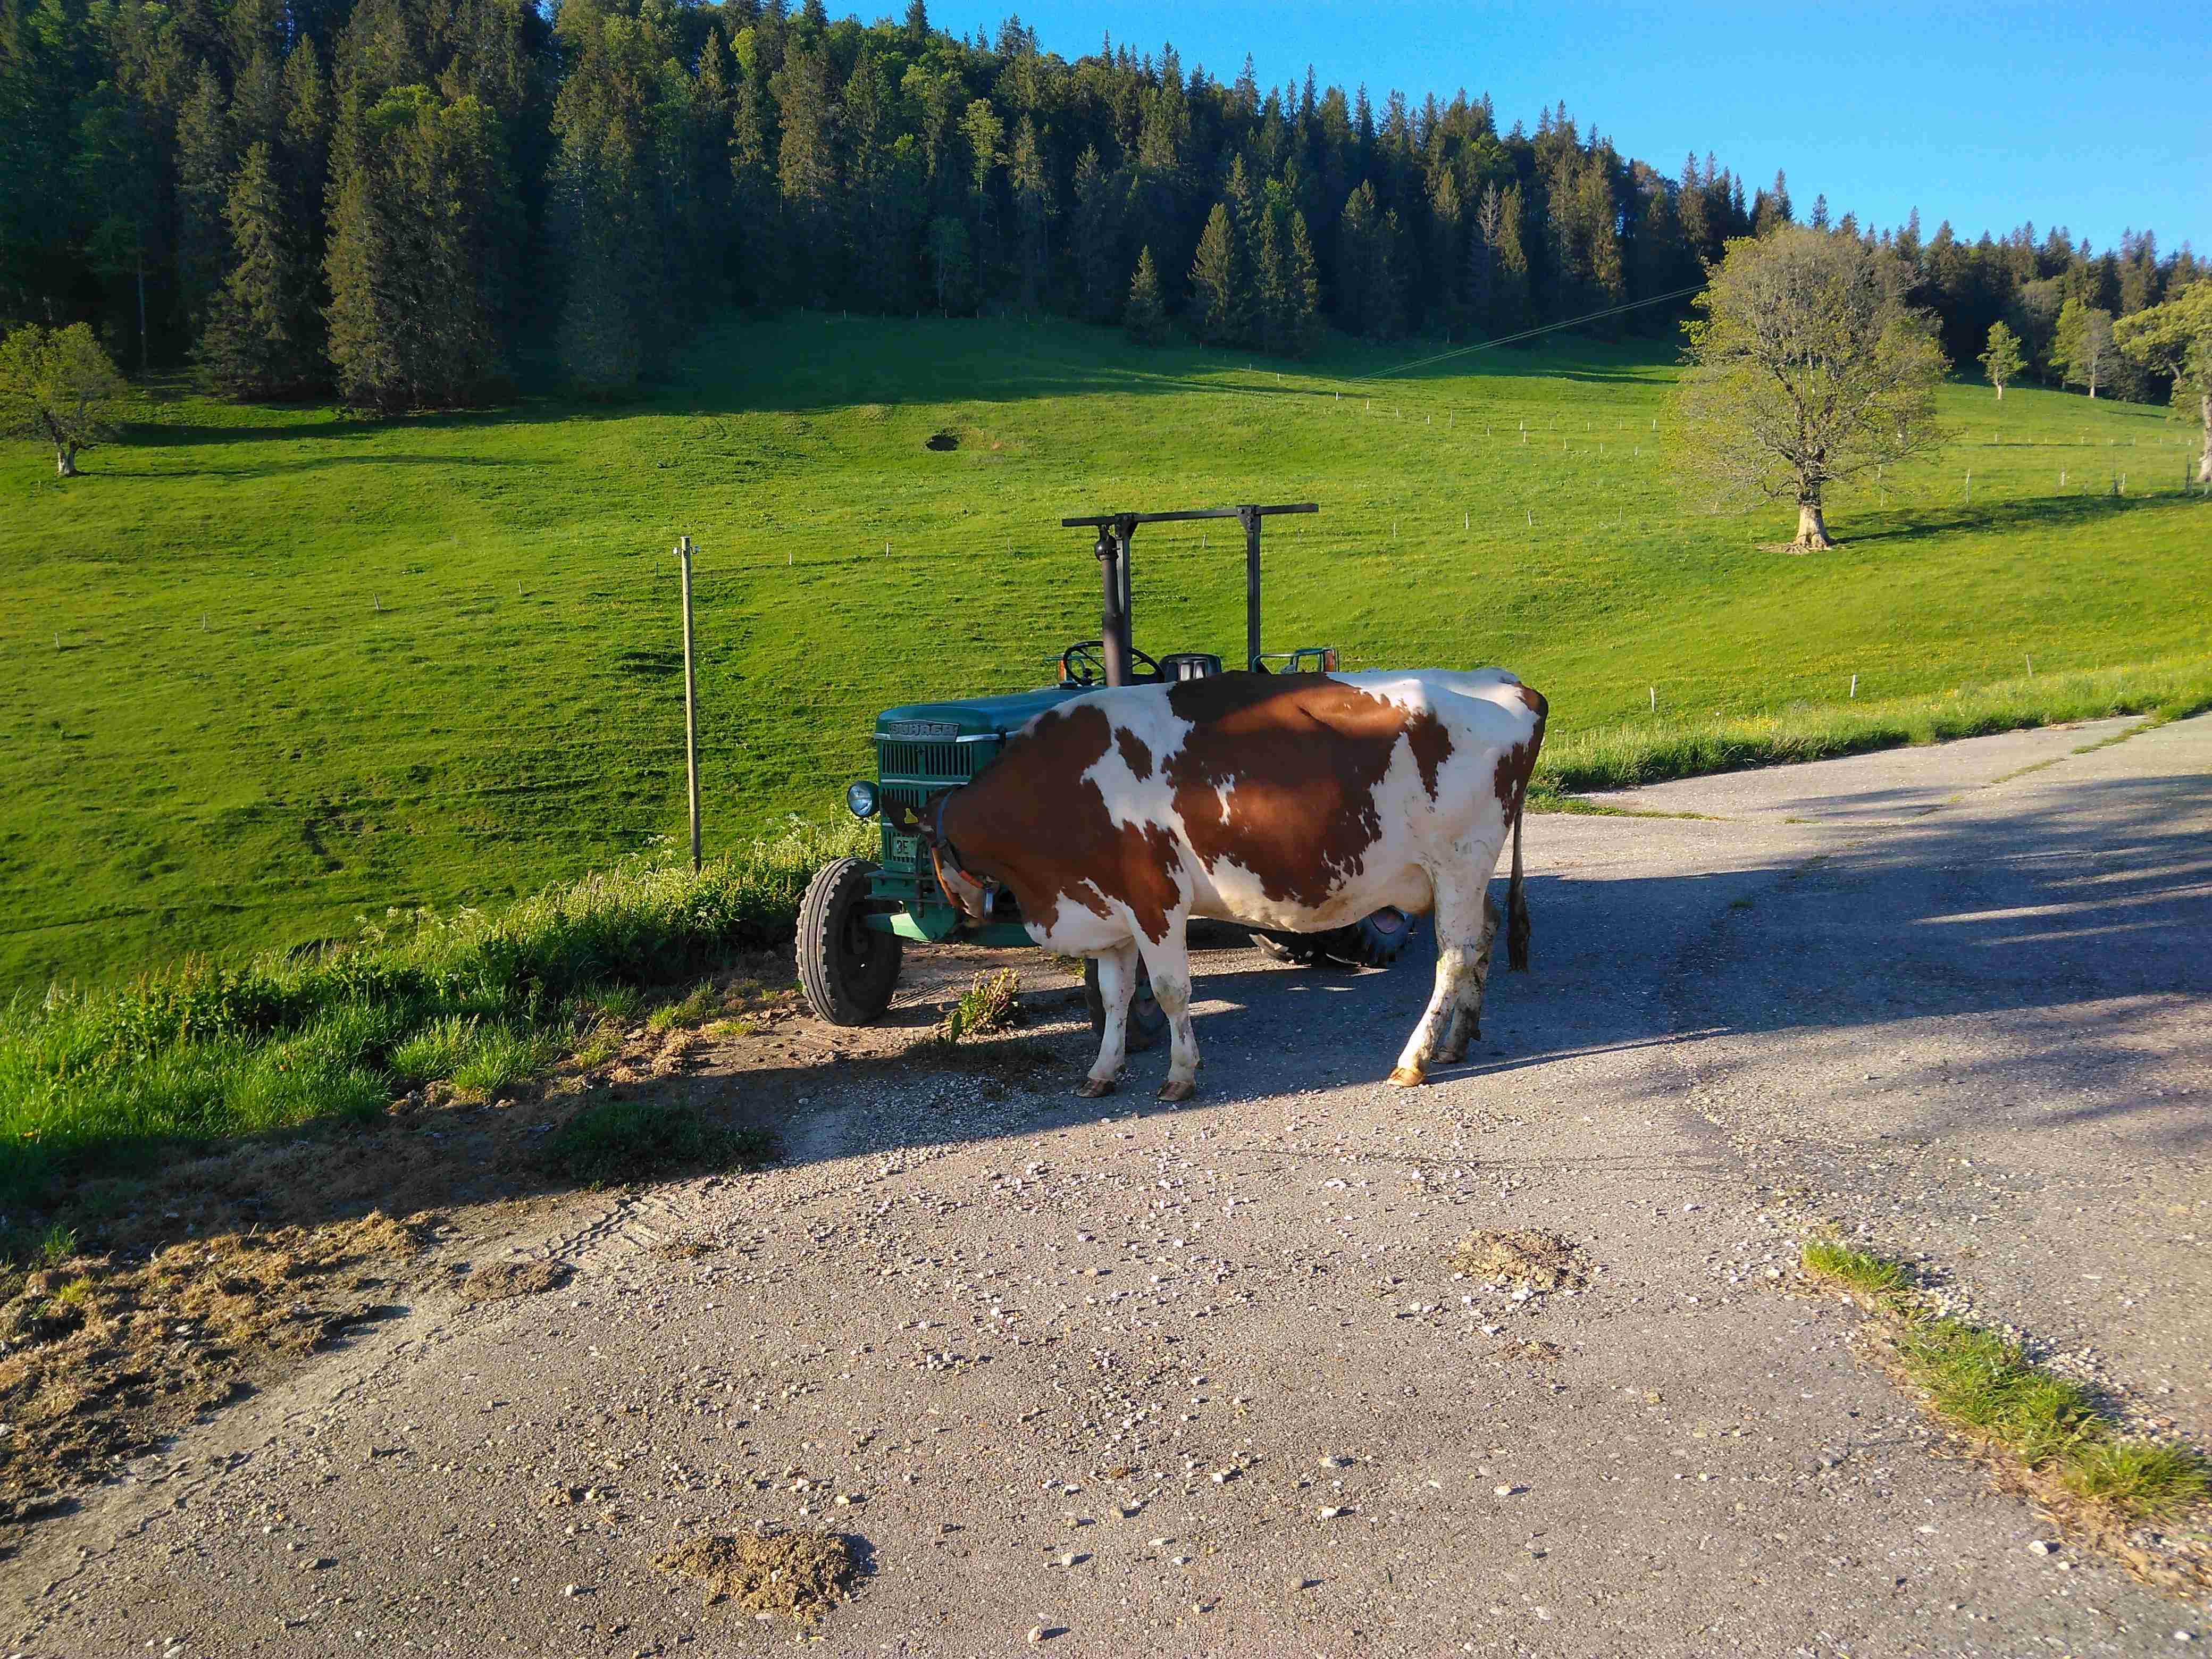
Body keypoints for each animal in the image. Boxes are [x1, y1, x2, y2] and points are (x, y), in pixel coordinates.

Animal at [907, 668, 1548, 1110]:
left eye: (928, 850)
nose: (953, 908)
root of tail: (1505, 682)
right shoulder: (1108, 909)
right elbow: (1115, 997)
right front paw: (1103, 1072)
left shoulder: (1156, 899)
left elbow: (1170, 993)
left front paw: (1179, 1076)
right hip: (1452, 878)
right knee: (1484, 936)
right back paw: (1456, 1042)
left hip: (1459, 862)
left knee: (1453, 955)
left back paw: (1413, 1060)